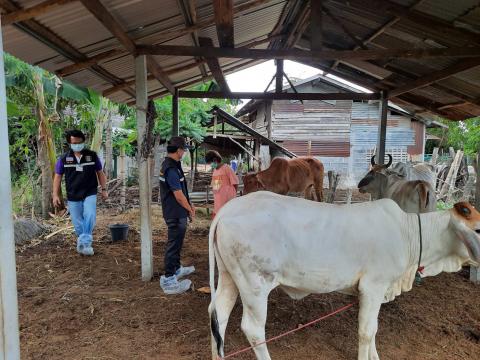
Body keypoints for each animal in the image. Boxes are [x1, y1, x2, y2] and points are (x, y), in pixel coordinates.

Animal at [209, 193, 480, 360]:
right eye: (477, 229)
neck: (408, 232)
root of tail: (227, 209)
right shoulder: (373, 287)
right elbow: (366, 331)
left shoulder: (376, 291)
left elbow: (374, 328)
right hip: (255, 284)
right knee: (253, 329)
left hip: (230, 277)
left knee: (217, 315)